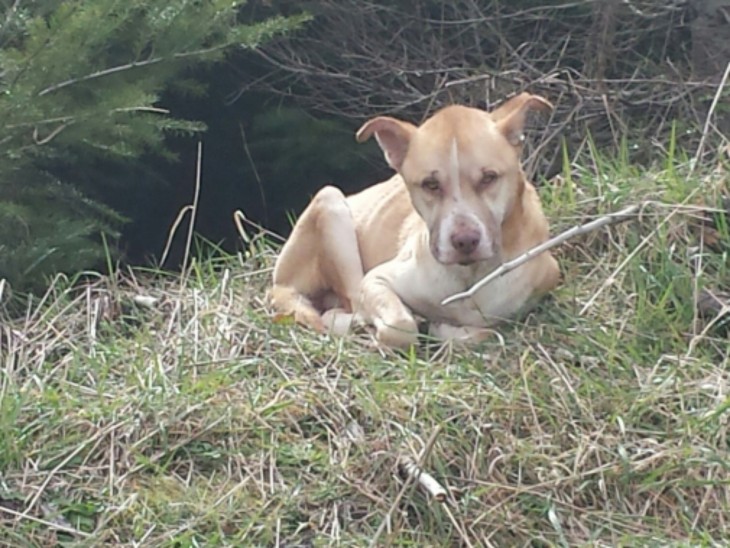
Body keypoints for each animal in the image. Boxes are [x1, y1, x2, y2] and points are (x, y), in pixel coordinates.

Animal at [268, 90, 556, 346]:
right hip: (331, 203)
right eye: (431, 184)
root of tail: (281, 281)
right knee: (350, 305)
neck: (467, 277)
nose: (465, 241)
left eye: (489, 177)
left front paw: (443, 328)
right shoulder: (376, 280)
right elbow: (400, 325)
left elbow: (481, 332)